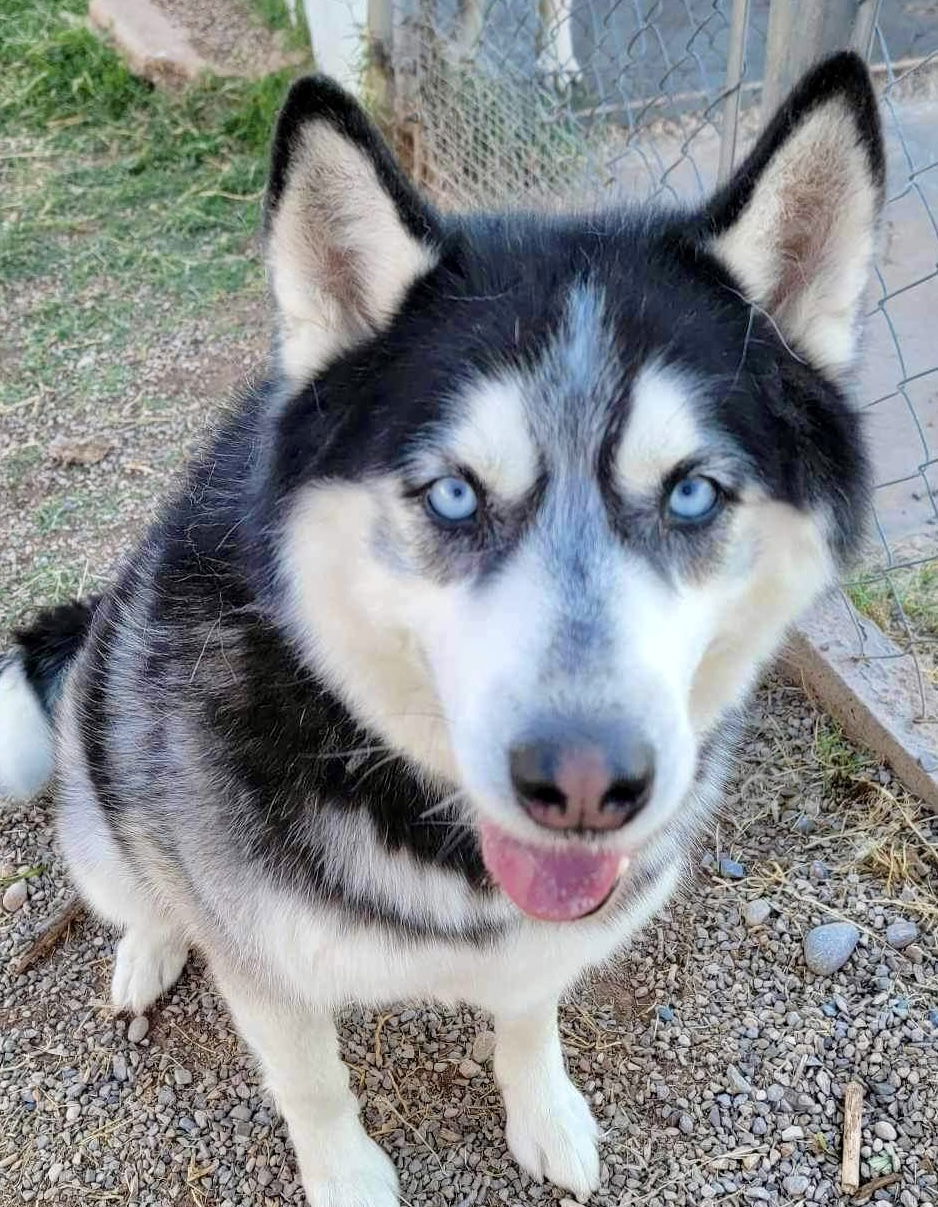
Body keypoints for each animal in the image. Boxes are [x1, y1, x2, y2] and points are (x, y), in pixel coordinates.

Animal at [0, 51, 878, 1202]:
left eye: (691, 493)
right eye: (455, 495)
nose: (583, 786)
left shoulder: (544, 939)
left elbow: (529, 1014)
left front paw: (543, 1111)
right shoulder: (265, 965)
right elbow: (312, 1082)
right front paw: (345, 1174)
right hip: (103, 811)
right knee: (141, 883)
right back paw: (149, 945)